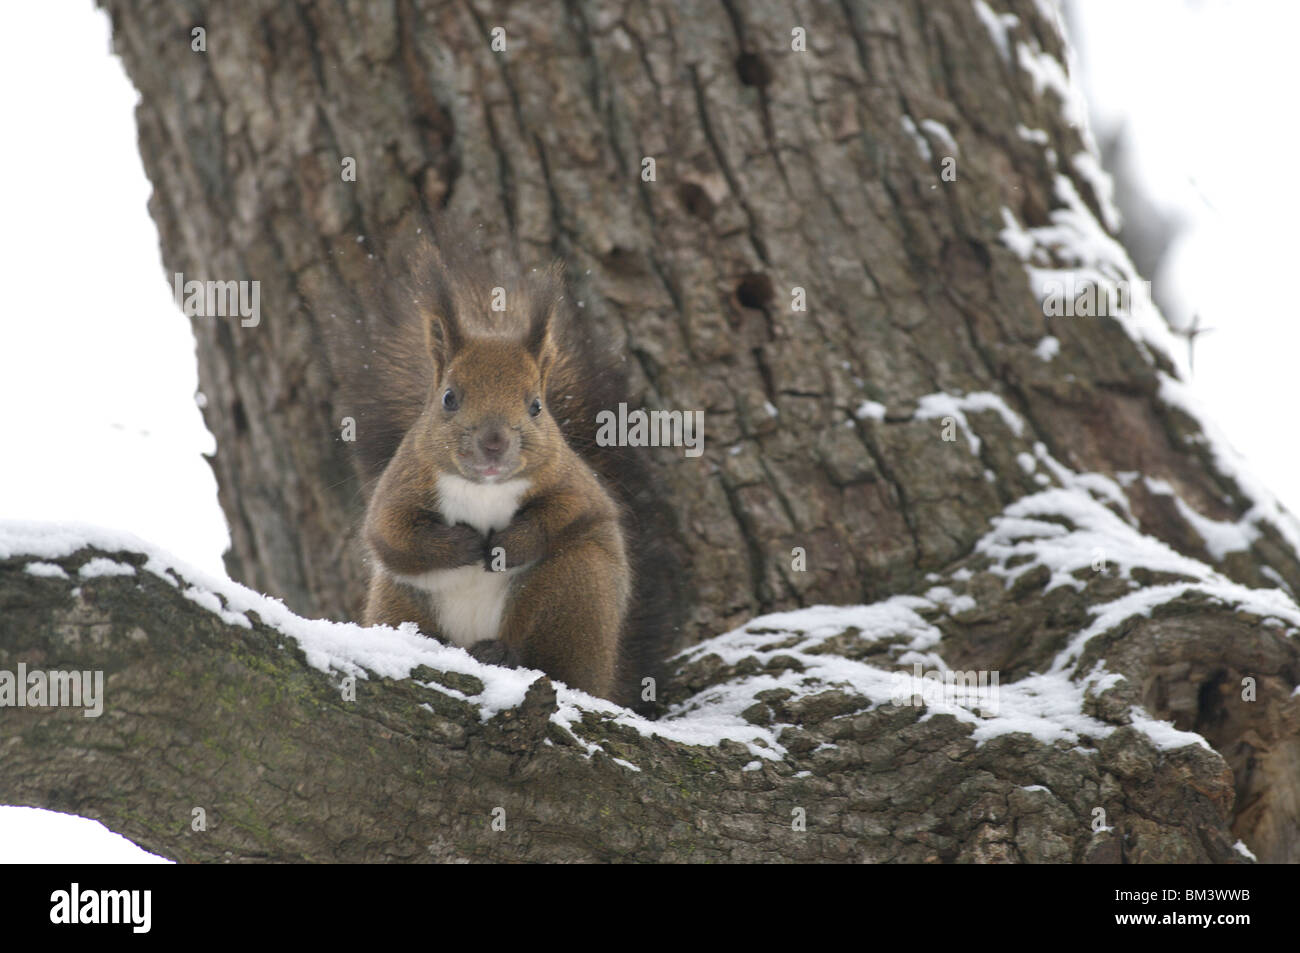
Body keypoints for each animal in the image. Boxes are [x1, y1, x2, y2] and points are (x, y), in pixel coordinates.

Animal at [340, 221, 686, 707]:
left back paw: (503, 652)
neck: (483, 490)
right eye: (449, 398)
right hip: (398, 601)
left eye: (536, 406)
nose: (493, 442)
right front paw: (463, 545)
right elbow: (392, 534)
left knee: (555, 660)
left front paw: (506, 545)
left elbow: (565, 514)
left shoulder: (573, 484)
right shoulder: (400, 486)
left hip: (574, 588)